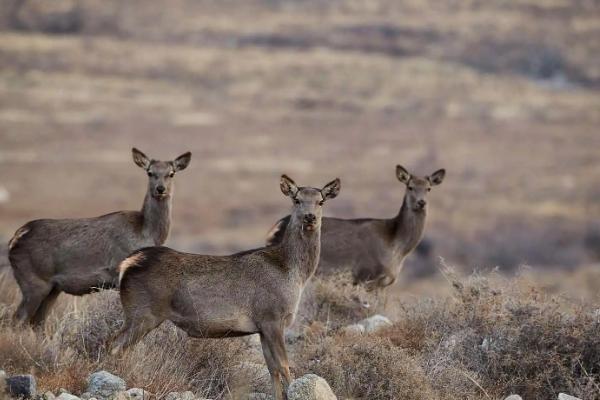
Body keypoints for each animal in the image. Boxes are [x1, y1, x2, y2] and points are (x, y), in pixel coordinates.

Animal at [6, 148, 190, 326]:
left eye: (171, 173)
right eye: (150, 172)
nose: (160, 189)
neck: (147, 232)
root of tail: (14, 239)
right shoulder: (118, 273)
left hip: (52, 288)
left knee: (37, 322)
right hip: (34, 281)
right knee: (18, 319)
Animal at [109, 174, 340, 400]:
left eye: (321, 201)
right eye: (297, 200)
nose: (310, 217)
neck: (295, 274)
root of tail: (127, 263)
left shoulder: (262, 326)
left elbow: (272, 368)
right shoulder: (272, 317)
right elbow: (284, 366)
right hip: (142, 312)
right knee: (114, 345)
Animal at [264, 165, 442, 290]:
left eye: (428, 188)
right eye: (410, 186)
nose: (421, 202)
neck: (396, 247)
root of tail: (275, 227)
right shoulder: (367, 276)